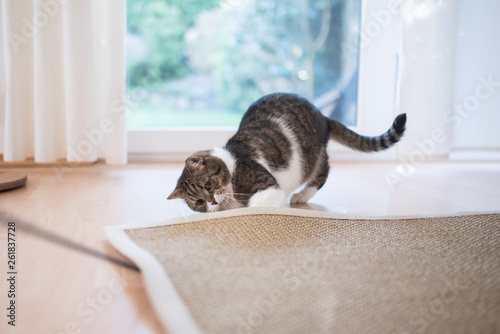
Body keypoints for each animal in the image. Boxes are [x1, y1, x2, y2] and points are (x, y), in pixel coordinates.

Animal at [168, 92, 406, 211]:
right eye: (198, 202)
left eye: (208, 185)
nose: (211, 202)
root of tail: (321, 114)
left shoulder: (268, 187)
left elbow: (256, 205)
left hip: (312, 157)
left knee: (324, 171)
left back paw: (301, 195)